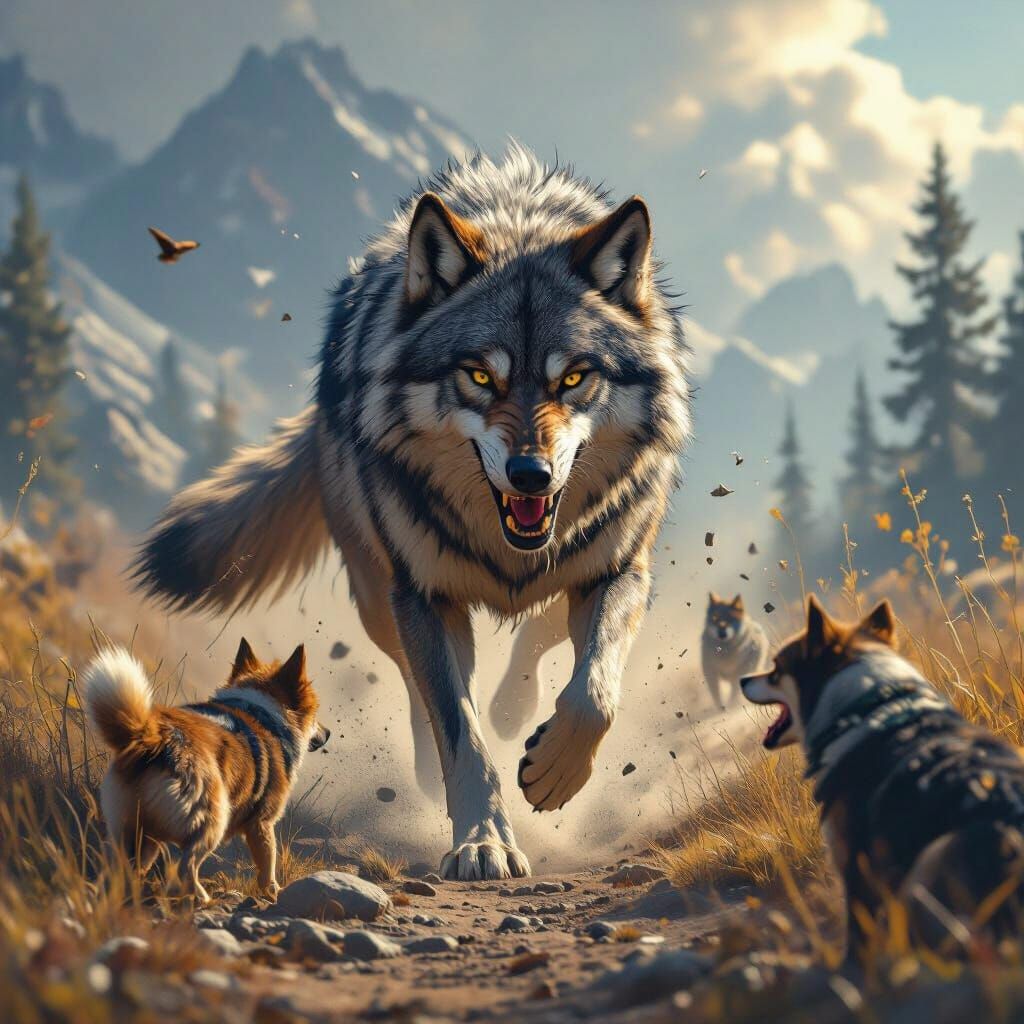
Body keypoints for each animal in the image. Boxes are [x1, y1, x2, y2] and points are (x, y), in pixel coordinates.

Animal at [84, 639, 329, 903]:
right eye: (315, 715)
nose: (328, 733)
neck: (261, 712)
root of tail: (152, 737)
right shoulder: (262, 824)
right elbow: (267, 865)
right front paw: (274, 893)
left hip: (132, 830)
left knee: (121, 870)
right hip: (211, 819)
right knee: (187, 866)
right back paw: (203, 898)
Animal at [133, 145, 691, 880]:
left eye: (573, 378)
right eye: (480, 376)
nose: (531, 475)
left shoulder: (618, 569)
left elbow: (593, 692)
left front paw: (554, 770)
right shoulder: (424, 595)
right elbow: (459, 730)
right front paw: (484, 841)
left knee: (538, 637)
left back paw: (516, 713)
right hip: (379, 592)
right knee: (417, 680)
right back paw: (438, 762)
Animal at [742, 596, 1024, 964]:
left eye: (775, 668)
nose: (743, 679)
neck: (868, 707)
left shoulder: (855, 866)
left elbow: (858, 937)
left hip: (933, 860)